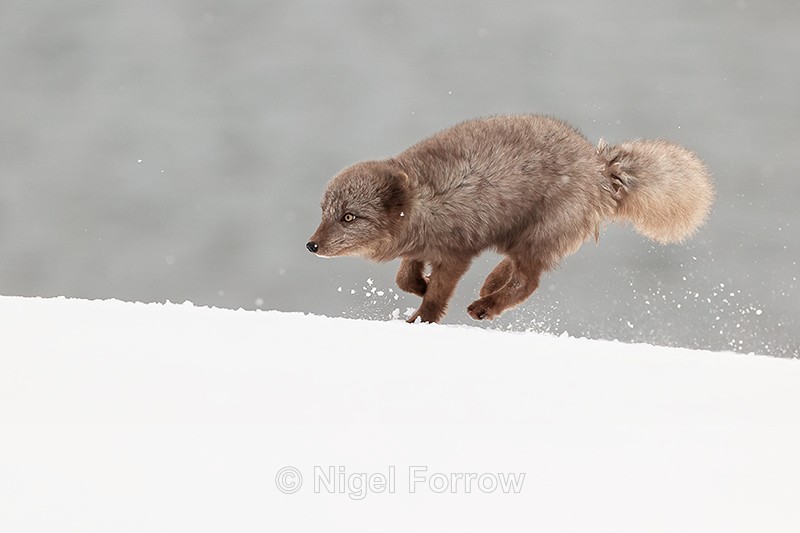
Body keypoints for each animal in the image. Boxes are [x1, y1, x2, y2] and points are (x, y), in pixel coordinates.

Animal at [307, 114, 713, 324]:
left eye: (349, 217)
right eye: (324, 212)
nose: (311, 245)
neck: (428, 199)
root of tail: (600, 167)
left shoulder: (456, 252)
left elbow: (437, 293)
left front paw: (421, 318)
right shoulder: (423, 247)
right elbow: (404, 277)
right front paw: (420, 286)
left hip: (541, 234)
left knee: (530, 281)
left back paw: (485, 306)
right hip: (521, 237)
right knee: (516, 268)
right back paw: (489, 285)